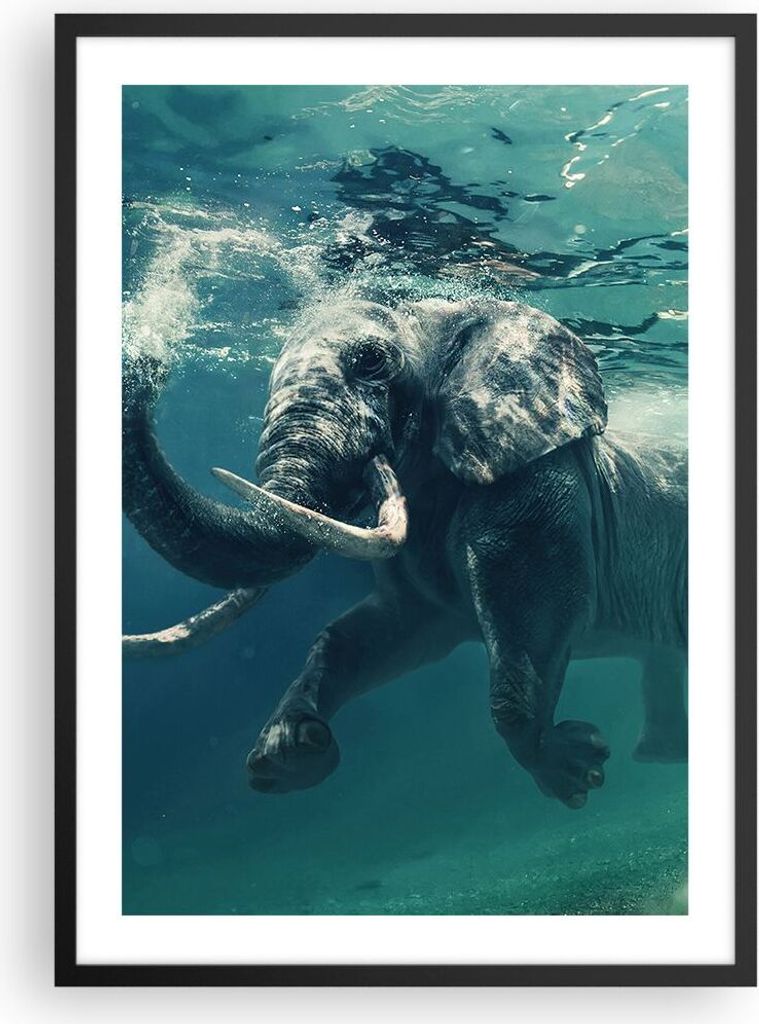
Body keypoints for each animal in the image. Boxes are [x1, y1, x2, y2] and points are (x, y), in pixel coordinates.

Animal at [123, 295, 687, 810]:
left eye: (372, 361)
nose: (144, 363)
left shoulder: (533, 487)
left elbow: (536, 615)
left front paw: (576, 770)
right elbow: (373, 634)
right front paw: (289, 753)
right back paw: (662, 755)